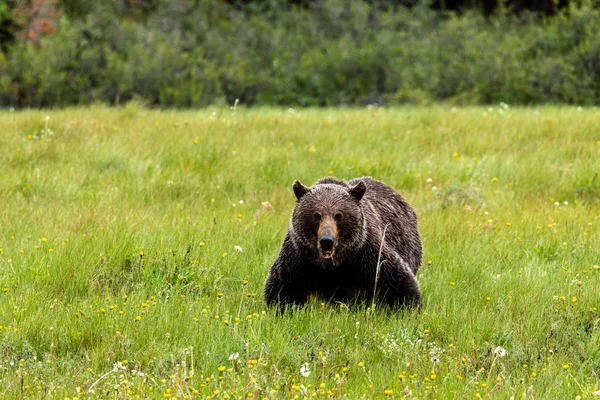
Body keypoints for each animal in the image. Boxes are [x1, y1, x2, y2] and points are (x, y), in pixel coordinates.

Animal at [262, 176, 422, 310]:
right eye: (316, 215)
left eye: (339, 215)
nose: (327, 241)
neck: (332, 265)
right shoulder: (299, 258)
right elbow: (284, 288)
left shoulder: (366, 254)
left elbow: (398, 283)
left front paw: (407, 307)